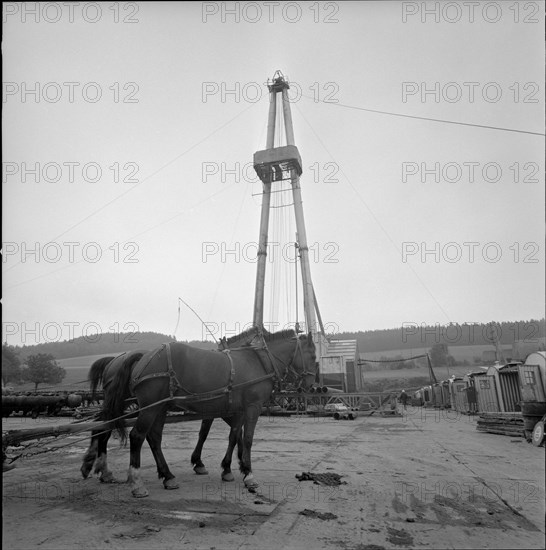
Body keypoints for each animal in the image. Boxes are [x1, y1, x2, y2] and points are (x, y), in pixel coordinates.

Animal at [103, 330, 314, 498]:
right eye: (312, 354)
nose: (311, 385)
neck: (260, 362)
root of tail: (145, 357)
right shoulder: (252, 407)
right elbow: (247, 439)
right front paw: (248, 474)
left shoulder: (236, 410)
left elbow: (233, 437)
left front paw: (228, 469)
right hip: (150, 407)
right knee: (137, 436)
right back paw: (137, 483)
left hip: (160, 408)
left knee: (154, 437)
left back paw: (168, 476)